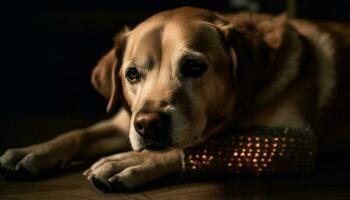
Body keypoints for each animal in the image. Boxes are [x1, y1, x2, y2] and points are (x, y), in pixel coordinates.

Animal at [0, 6, 350, 191]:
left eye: (194, 67)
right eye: (132, 74)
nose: (147, 125)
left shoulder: (296, 142)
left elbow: (199, 145)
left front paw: (128, 162)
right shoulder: (125, 121)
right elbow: (77, 133)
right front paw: (32, 151)